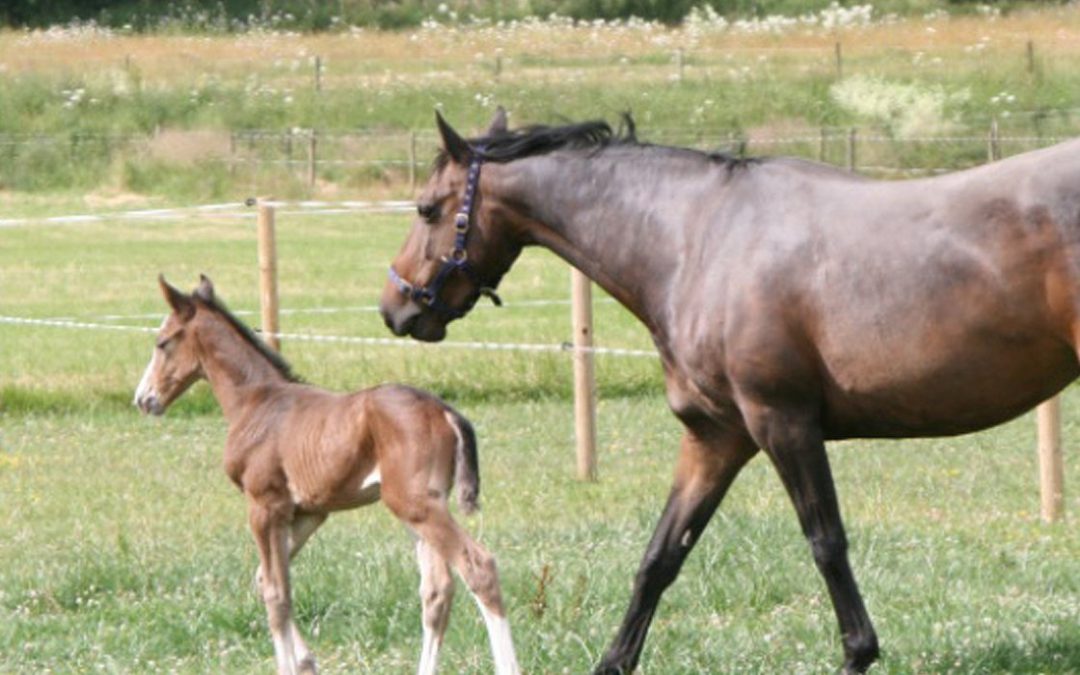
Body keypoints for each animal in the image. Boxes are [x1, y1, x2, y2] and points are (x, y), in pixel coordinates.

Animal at [134, 275, 520, 675]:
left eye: (162, 342)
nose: (144, 399)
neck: (256, 401)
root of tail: (444, 410)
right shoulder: (308, 511)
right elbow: (266, 579)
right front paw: (305, 661)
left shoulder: (264, 505)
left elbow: (275, 593)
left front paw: (289, 665)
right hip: (419, 510)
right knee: (437, 591)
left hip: (417, 506)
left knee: (478, 567)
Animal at [379, 108, 1080, 674]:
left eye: (427, 208)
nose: (395, 308)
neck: (695, 240)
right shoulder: (717, 437)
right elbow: (660, 557)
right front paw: (614, 660)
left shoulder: (782, 423)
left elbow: (826, 541)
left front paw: (858, 652)